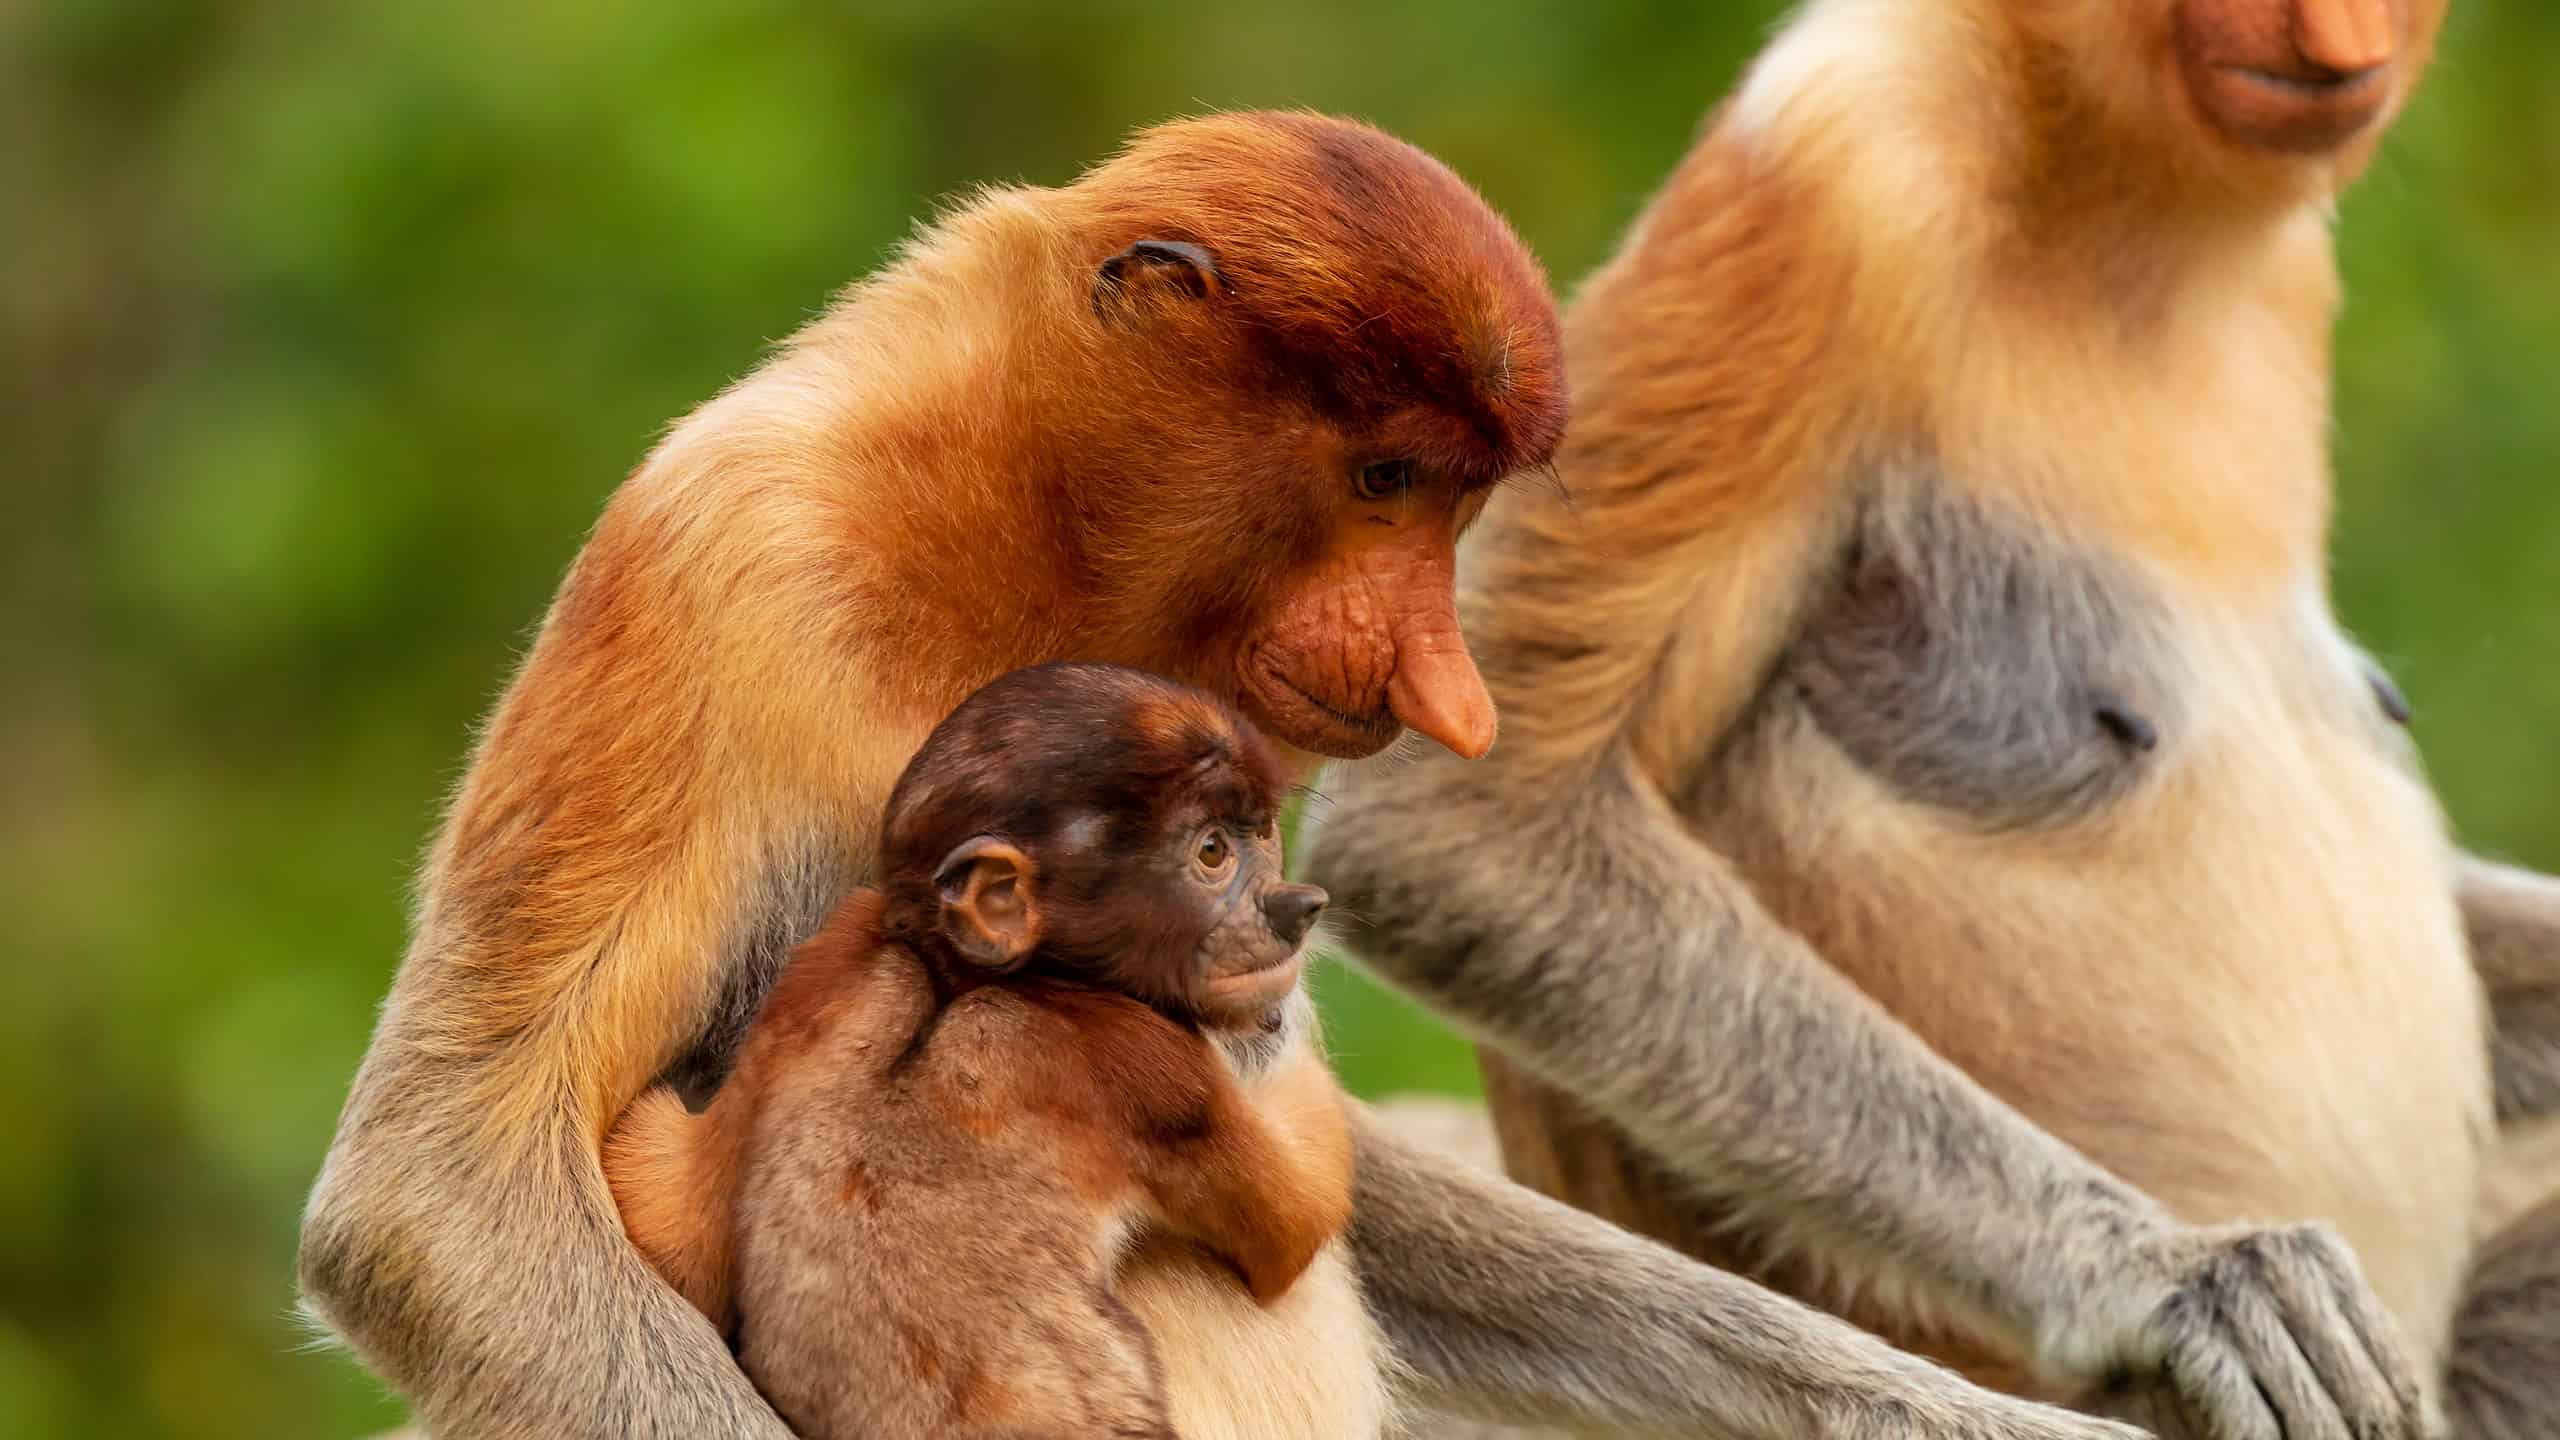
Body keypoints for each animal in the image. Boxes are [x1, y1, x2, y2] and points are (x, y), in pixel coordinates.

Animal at [609, 666, 1382, 1434]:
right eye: (1213, 851)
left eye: (1262, 832)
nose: (1295, 907)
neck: (962, 977)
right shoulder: (1147, 1064)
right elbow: (1293, 1231)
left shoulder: (828, 962)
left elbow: (668, 1209)